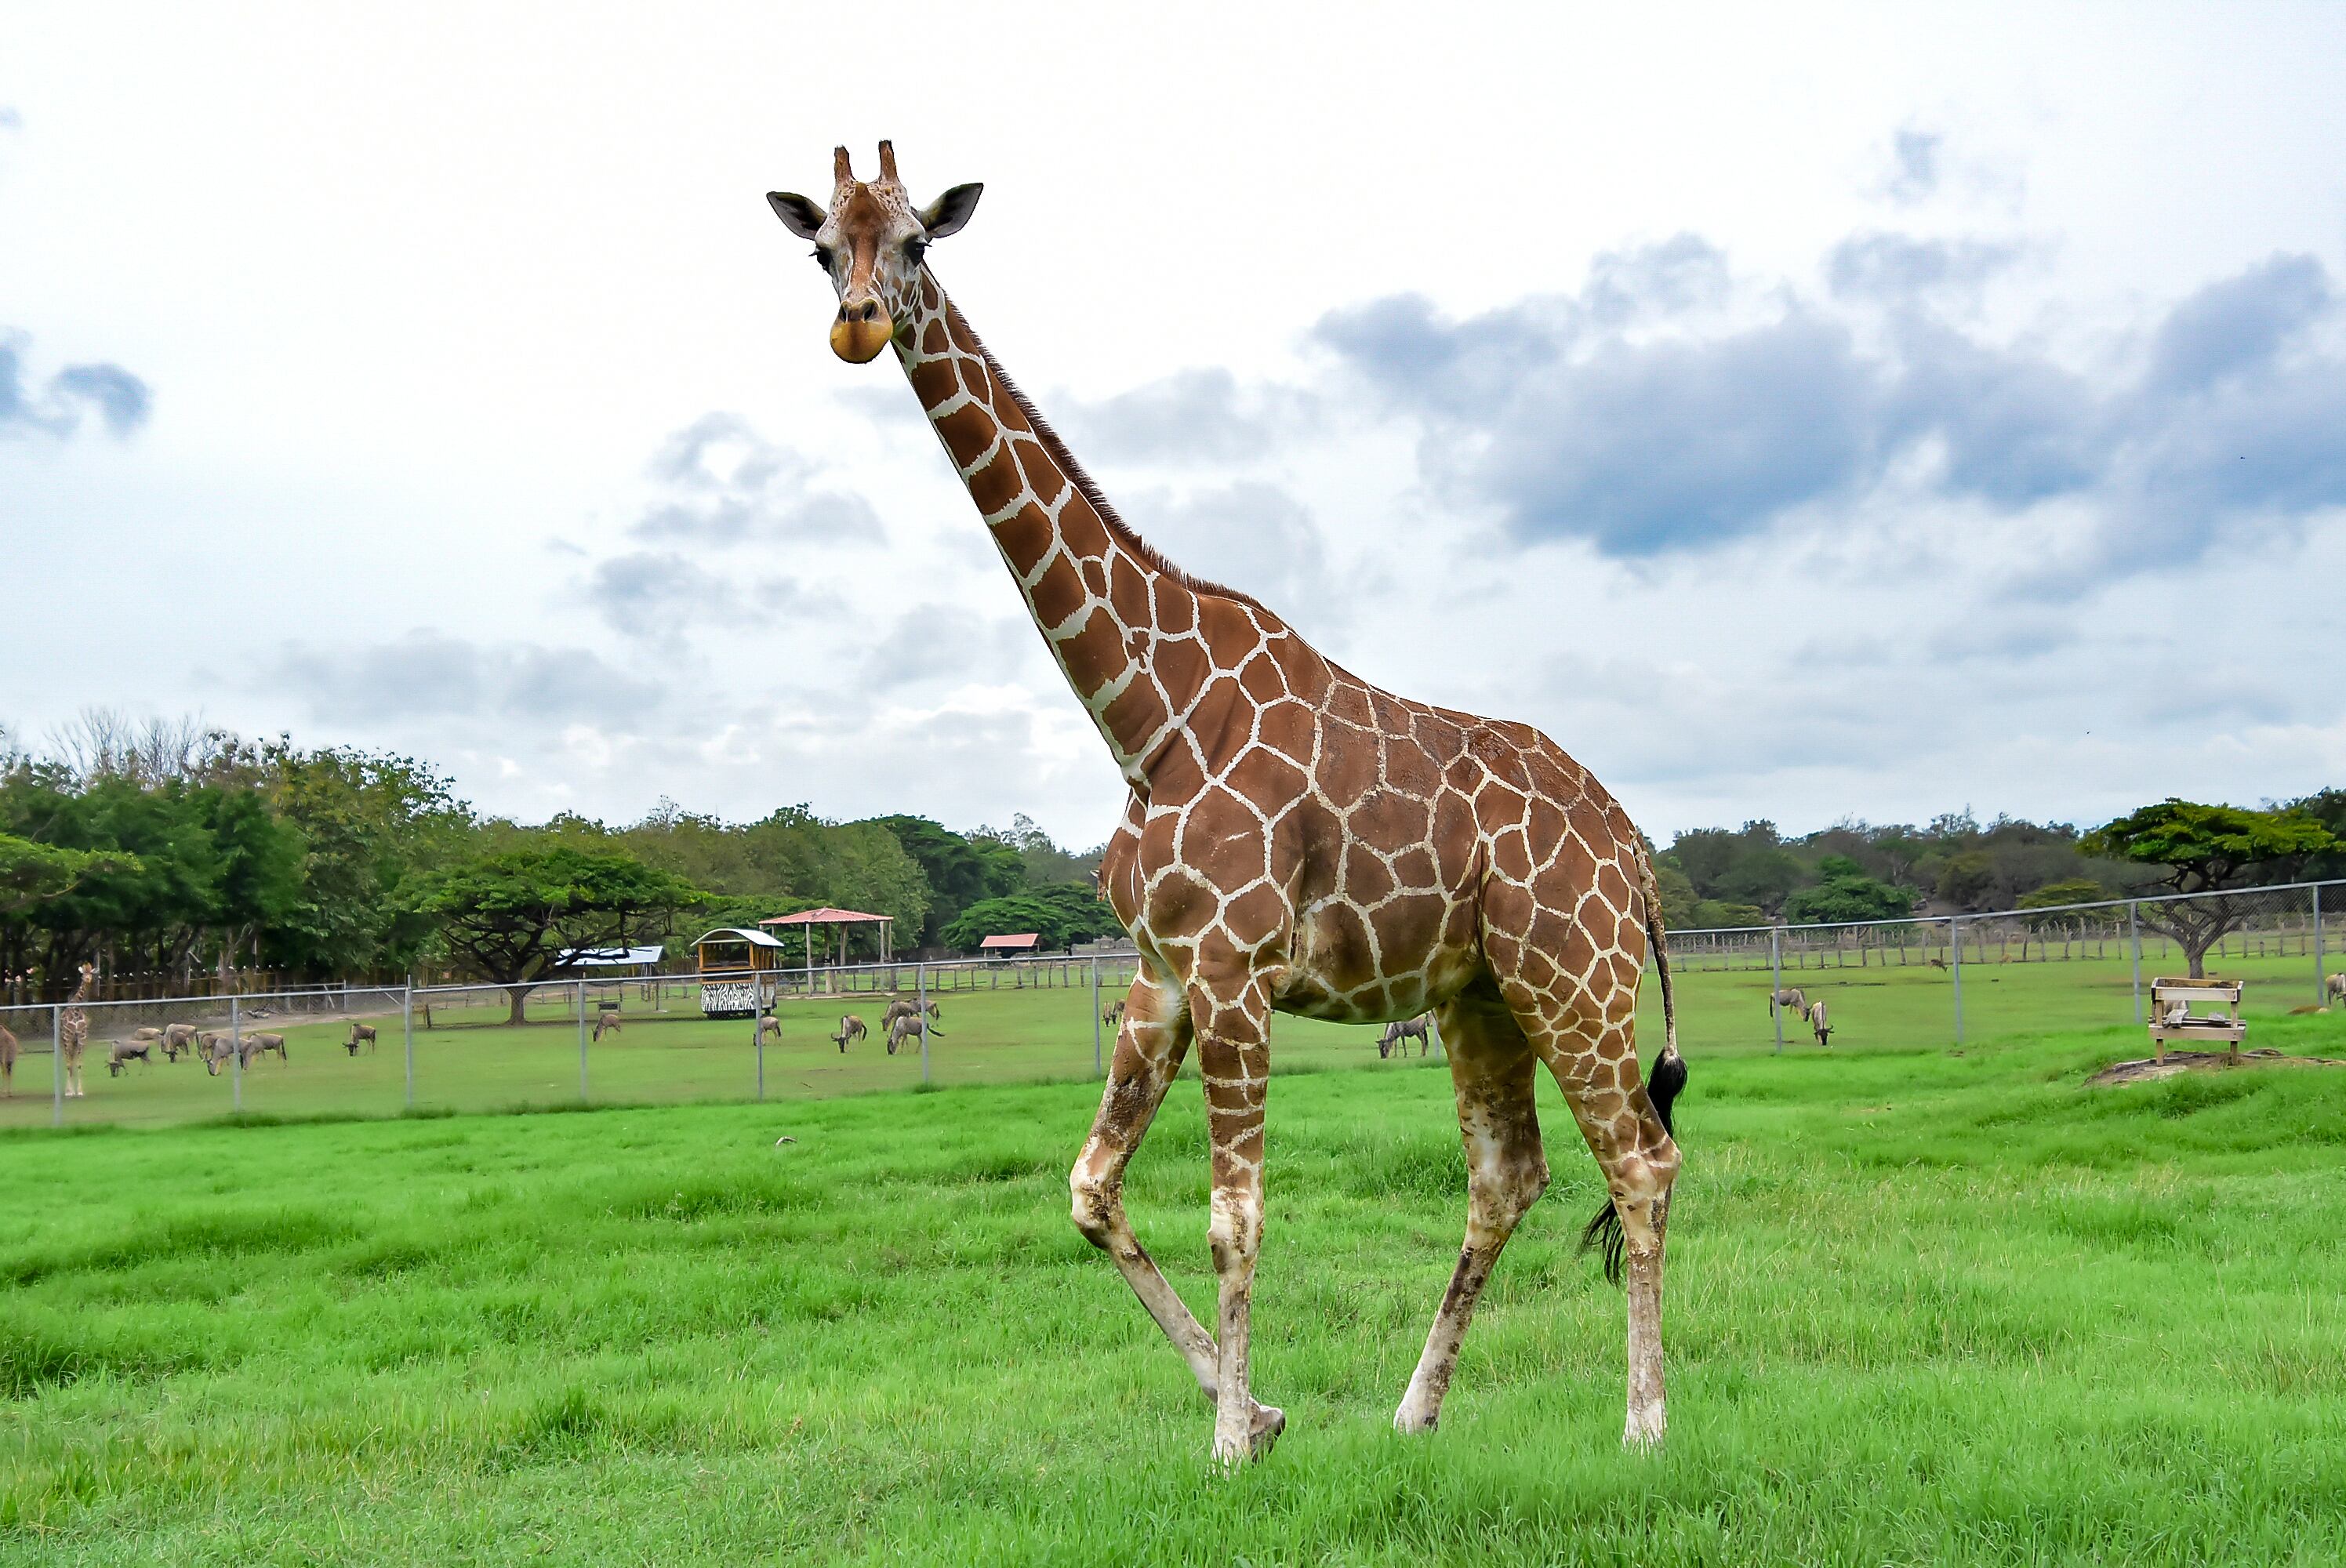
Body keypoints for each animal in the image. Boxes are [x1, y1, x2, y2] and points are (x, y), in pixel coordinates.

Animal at [59, 962, 94, 1099]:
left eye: (91, 973)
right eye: (83, 974)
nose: (88, 979)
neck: (76, 1010)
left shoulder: (81, 1038)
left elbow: (79, 1064)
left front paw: (79, 1091)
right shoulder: (68, 1038)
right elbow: (69, 1064)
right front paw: (69, 1092)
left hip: (73, 1043)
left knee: (72, 1061)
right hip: (64, 1041)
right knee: (68, 1061)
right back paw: (68, 1091)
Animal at [766, 143, 1687, 1463]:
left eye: (918, 242)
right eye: (820, 247)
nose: (858, 322)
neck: (1148, 721)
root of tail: (1637, 856)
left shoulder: (1234, 968)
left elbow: (1234, 1217)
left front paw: (1225, 1450)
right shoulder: (1162, 974)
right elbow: (1090, 1190)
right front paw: (1257, 1410)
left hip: (1575, 978)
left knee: (1642, 1165)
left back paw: (1644, 1425)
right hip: (1483, 996)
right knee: (1509, 1178)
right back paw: (1415, 1411)